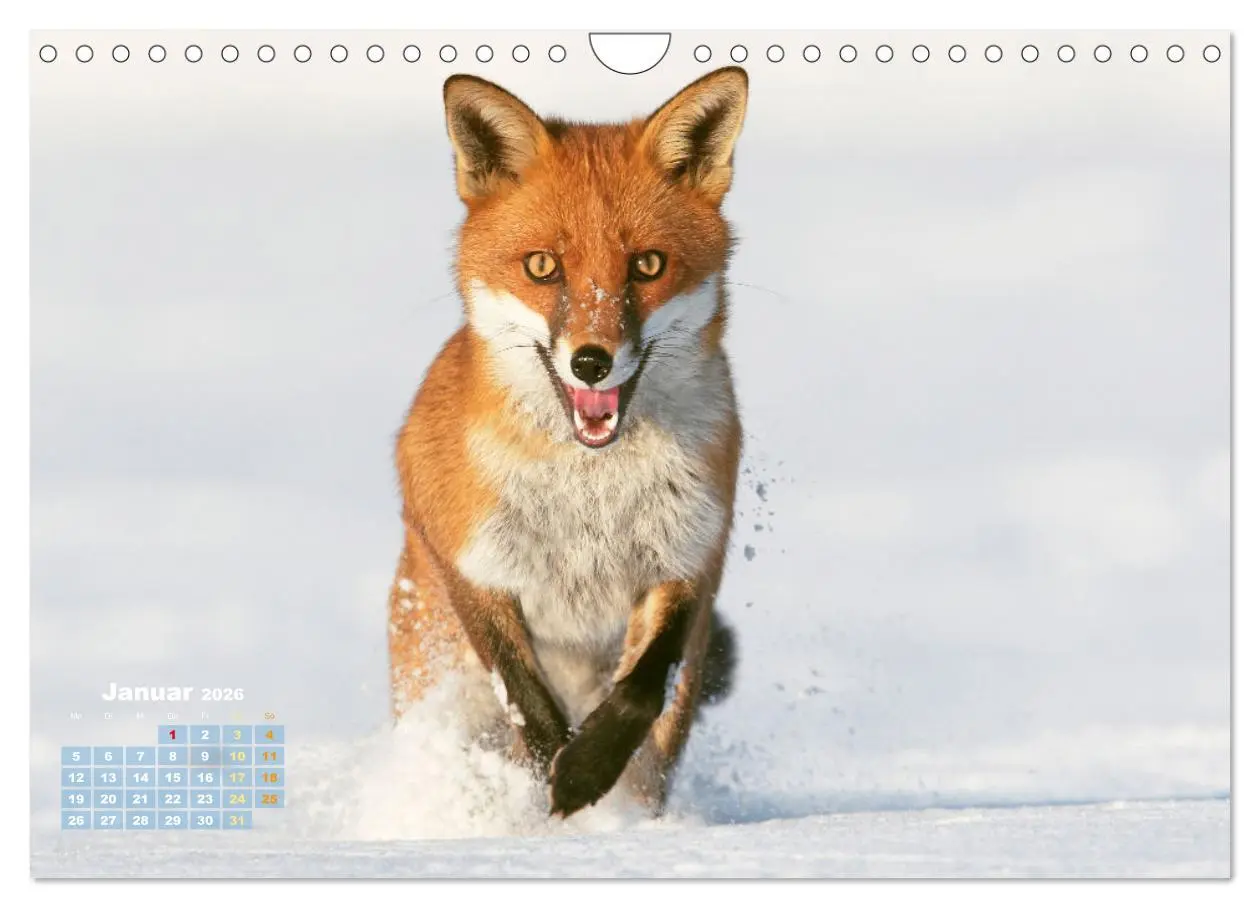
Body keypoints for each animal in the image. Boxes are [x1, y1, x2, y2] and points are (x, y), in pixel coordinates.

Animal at [387, 66, 749, 819]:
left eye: (647, 265)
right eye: (542, 267)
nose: (590, 362)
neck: (589, 492)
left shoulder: (690, 555)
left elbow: (642, 686)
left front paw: (585, 771)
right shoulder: (472, 560)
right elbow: (526, 699)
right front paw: (553, 776)